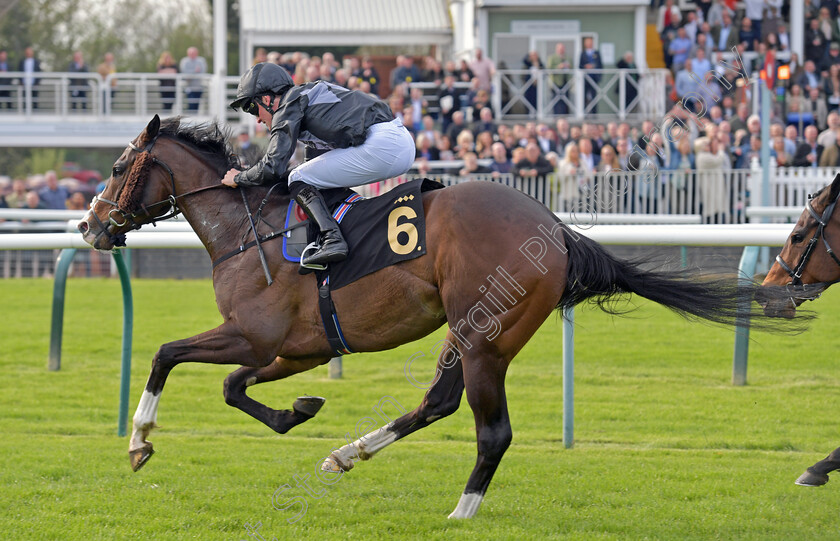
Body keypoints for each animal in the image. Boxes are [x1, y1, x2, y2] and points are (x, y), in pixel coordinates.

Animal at [77, 116, 788, 516]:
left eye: (117, 166)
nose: (88, 227)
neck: (247, 229)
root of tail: (556, 231)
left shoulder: (253, 335)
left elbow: (166, 353)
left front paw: (139, 442)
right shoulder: (297, 347)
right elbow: (232, 386)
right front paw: (299, 410)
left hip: (482, 336)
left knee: (491, 430)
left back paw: (461, 512)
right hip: (471, 332)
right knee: (437, 403)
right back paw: (346, 454)